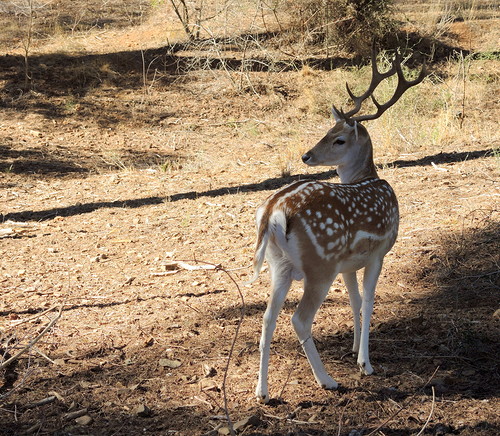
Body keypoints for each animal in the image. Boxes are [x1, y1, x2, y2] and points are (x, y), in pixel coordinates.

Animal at [247, 46, 426, 404]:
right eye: (328, 134)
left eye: (338, 138)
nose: (306, 155)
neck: (367, 178)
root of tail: (272, 211)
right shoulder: (379, 252)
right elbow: (369, 300)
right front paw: (365, 363)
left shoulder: (348, 264)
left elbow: (355, 300)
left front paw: (355, 348)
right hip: (320, 263)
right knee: (299, 319)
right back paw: (327, 380)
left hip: (279, 265)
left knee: (268, 317)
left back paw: (263, 391)